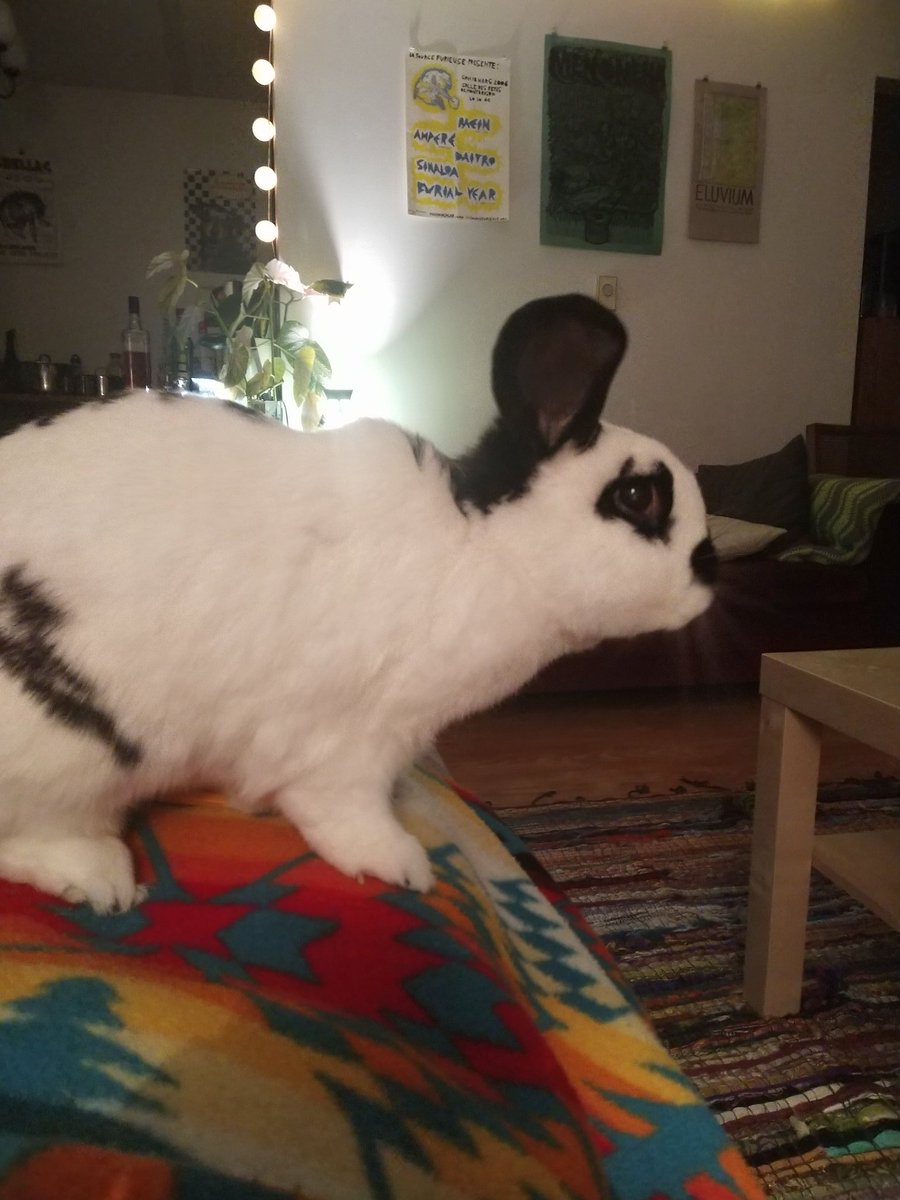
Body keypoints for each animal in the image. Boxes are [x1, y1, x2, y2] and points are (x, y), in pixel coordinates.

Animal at [0, 293, 716, 912]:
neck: (484, 546)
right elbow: (342, 808)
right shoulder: (350, 740)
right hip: (75, 757)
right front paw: (400, 864)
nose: (709, 573)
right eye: (636, 497)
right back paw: (103, 883)